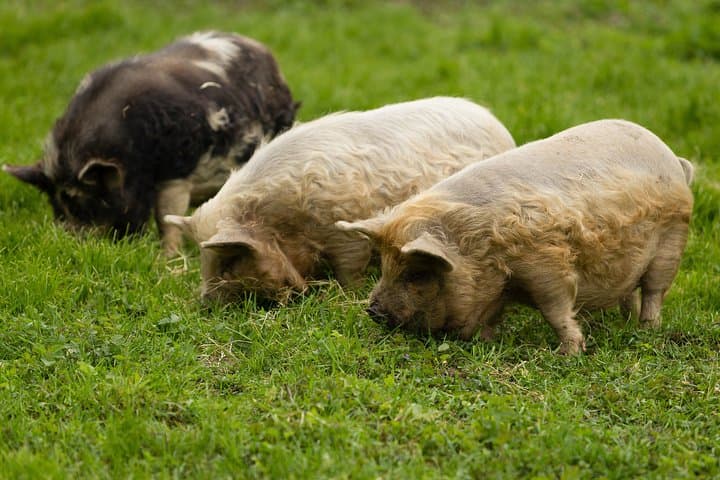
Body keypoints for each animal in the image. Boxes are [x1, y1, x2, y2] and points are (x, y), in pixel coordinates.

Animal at [3, 31, 299, 254]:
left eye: (86, 202)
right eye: (55, 205)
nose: (68, 244)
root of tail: (259, 48)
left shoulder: (177, 171)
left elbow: (166, 217)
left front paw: (167, 264)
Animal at [164, 97, 516, 303]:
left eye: (229, 261)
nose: (204, 304)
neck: (285, 220)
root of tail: (499, 126)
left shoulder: (345, 230)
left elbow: (350, 269)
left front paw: (346, 295)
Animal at [337, 119, 694, 354]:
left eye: (418, 274)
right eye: (385, 266)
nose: (372, 311)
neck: (478, 243)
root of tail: (674, 159)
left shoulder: (547, 266)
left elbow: (556, 309)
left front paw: (568, 353)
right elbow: (492, 314)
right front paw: (485, 342)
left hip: (672, 242)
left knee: (654, 292)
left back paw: (647, 331)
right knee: (629, 293)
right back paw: (625, 322)